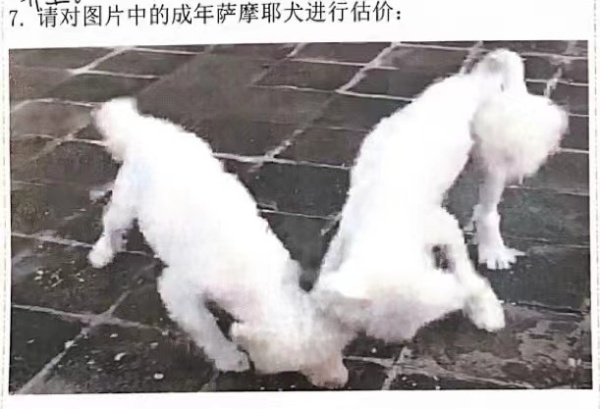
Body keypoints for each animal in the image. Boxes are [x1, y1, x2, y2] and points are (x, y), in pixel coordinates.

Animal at [88, 98, 352, 388]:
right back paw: (102, 253)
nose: (338, 382)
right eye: (304, 367)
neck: (259, 283)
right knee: (111, 223)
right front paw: (229, 358)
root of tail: (143, 128)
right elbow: (205, 328)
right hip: (126, 198)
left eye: (338, 352)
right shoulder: (178, 290)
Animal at [311, 50, 528, 343]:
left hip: (492, 162)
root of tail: (475, 80)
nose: (398, 342)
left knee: (487, 211)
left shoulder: (444, 226)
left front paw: (484, 308)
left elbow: (464, 272)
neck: (385, 219)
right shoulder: (344, 236)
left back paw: (493, 250)